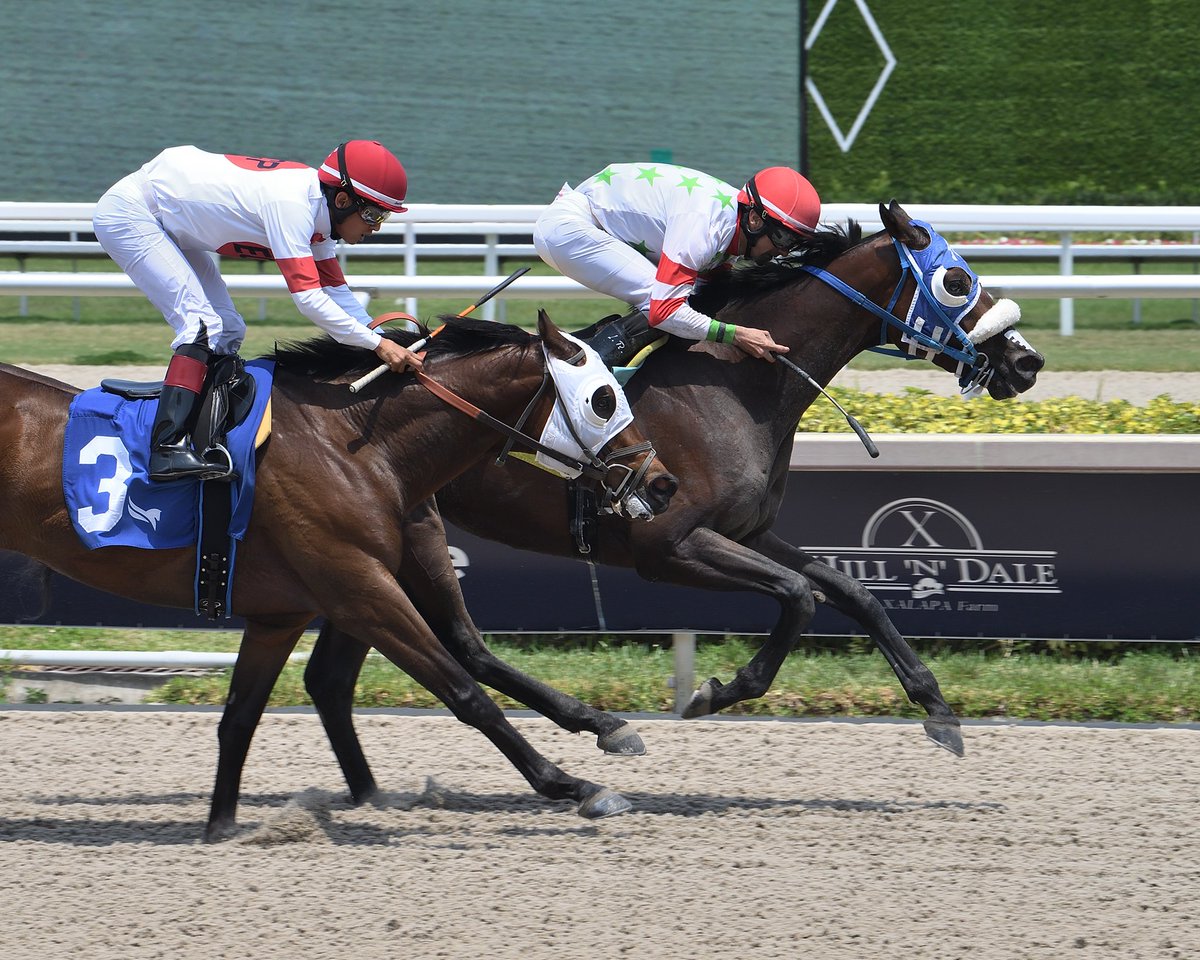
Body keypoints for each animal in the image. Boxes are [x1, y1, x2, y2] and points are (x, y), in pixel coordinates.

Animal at [0, 312, 676, 835]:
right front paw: (574, 786)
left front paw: (222, 827)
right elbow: (465, 692)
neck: (355, 446)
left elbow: (240, 717)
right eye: (604, 399)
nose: (663, 484)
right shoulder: (360, 591)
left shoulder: (285, 613)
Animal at [297, 200, 1041, 787]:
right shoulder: (667, 544)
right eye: (956, 280)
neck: (736, 387)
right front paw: (719, 691)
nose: (1025, 361)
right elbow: (800, 595)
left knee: (333, 677)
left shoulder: (748, 531)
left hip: (382, 543)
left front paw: (938, 709)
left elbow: (852, 590)